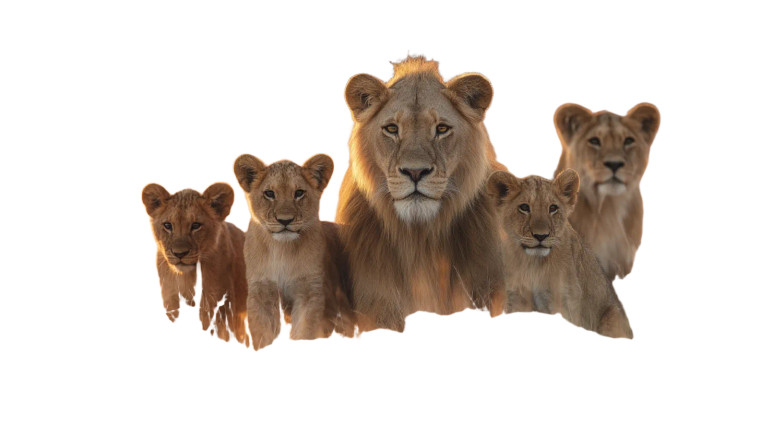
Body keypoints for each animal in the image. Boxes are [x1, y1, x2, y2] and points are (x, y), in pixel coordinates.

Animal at [142, 183, 249, 345]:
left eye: (196, 225)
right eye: (167, 225)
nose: (179, 253)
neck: (187, 278)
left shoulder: (217, 308)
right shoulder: (172, 303)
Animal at [233, 153, 356, 350]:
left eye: (299, 193)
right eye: (269, 193)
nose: (285, 220)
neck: (282, 250)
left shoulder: (309, 291)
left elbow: (304, 332)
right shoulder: (261, 291)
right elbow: (263, 334)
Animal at [486, 169, 633, 338]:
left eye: (553, 208)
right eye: (524, 207)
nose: (541, 236)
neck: (533, 264)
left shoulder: (565, 301)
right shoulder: (516, 298)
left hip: (612, 316)